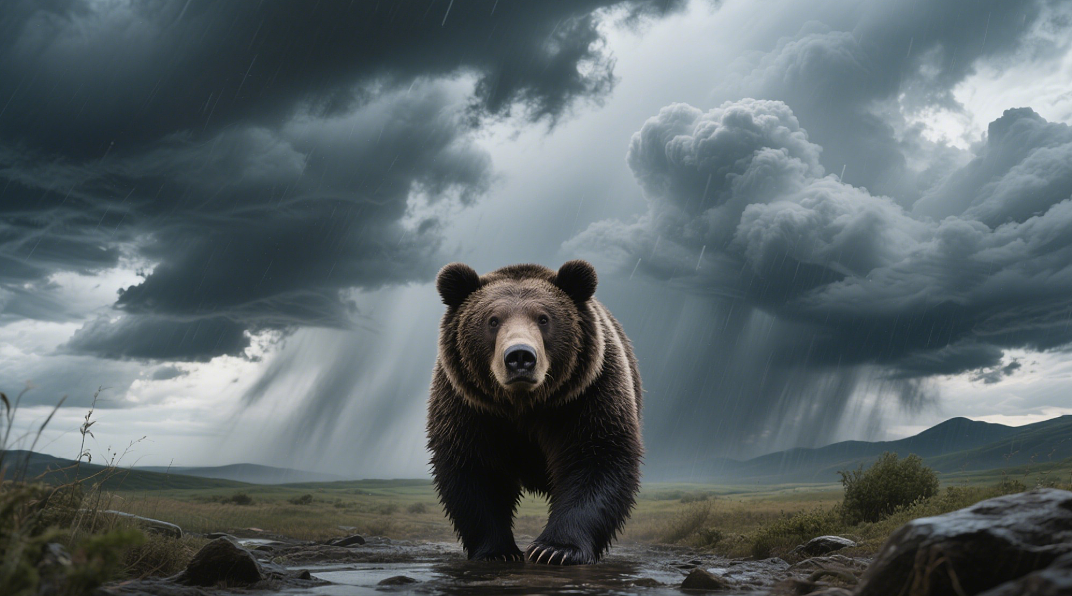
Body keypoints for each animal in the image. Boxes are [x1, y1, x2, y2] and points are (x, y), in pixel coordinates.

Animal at [426, 260, 643, 565]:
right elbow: (474, 470)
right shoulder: (471, 406)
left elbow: (598, 458)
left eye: (544, 318)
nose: (520, 356)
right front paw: (498, 551)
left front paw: (555, 549)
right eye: (492, 320)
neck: (525, 403)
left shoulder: (587, 394)